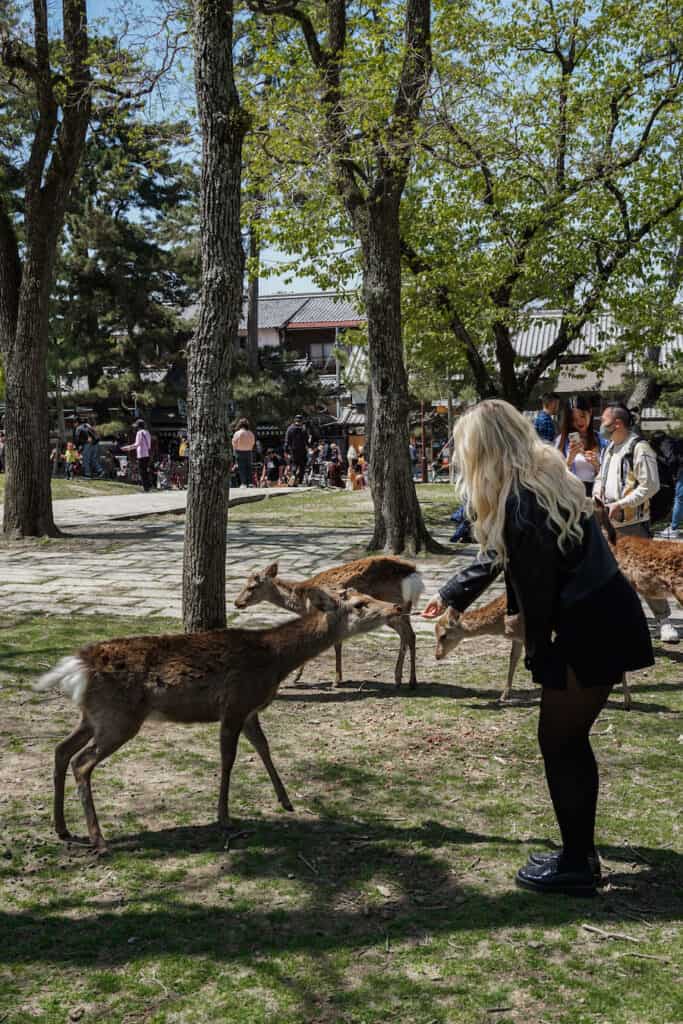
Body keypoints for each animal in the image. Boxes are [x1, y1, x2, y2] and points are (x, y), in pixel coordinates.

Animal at [34, 589, 403, 851]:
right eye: (360, 603)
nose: (397, 608)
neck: (275, 660)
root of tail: (77, 667)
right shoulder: (235, 704)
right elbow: (228, 758)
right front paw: (224, 817)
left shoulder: (251, 710)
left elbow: (265, 748)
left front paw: (285, 800)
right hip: (118, 718)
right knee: (81, 762)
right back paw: (99, 839)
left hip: (92, 716)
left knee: (60, 750)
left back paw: (62, 828)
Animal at [237, 557, 423, 692]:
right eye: (244, 584)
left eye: (252, 587)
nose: (237, 602)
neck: (301, 603)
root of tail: (413, 575)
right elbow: (337, 643)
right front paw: (336, 679)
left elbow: (333, 644)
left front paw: (327, 680)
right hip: (402, 609)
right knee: (410, 635)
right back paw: (406, 680)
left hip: (393, 606)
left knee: (407, 634)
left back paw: (404, 680)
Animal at [436, 598, 634, 708]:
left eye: (443, 635)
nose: (437, 656)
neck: (502, 623)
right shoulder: (518, 638)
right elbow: (513, 660)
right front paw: (503, 697)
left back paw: (626, 702)